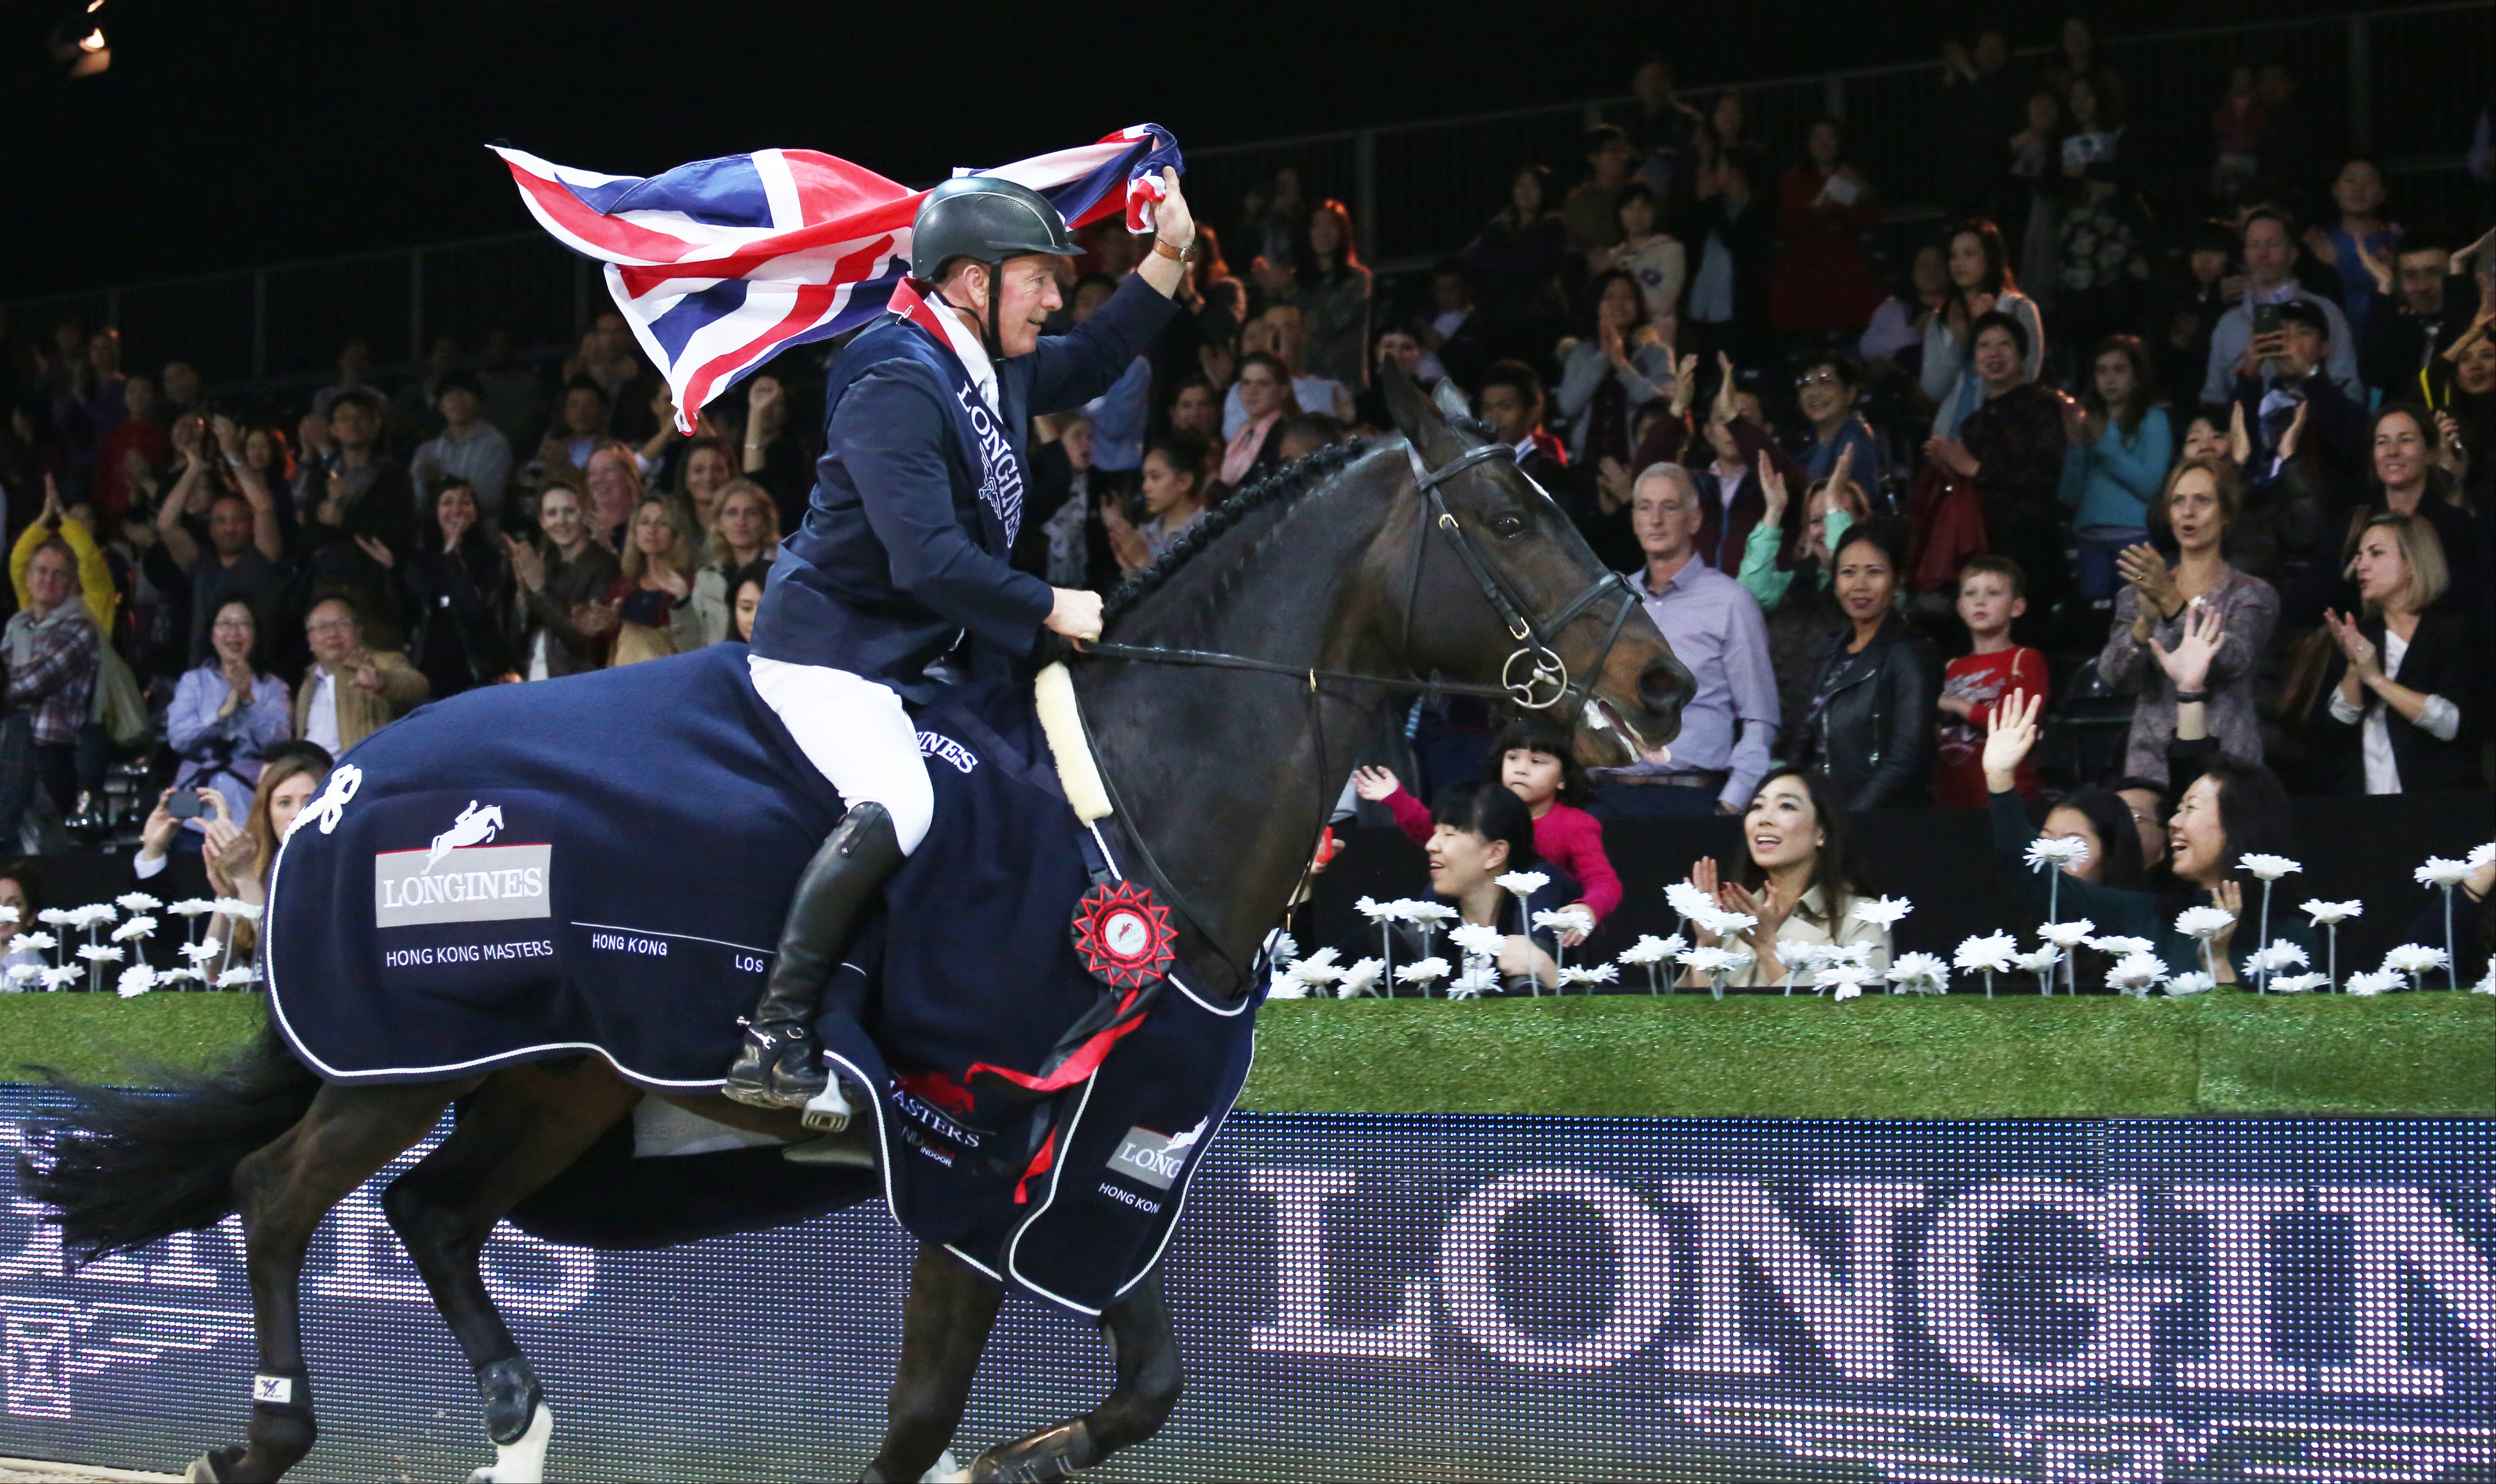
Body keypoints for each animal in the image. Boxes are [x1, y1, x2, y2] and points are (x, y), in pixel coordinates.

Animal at [24, 366, 1697, 1476]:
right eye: (1507, 510)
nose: (1668, 682)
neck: (1140, 787)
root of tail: (340, 782)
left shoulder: (1093, 1157)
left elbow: (1146, 1384)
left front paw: (1018, 1460)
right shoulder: (973, 1152)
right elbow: (916, 1417)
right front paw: (976, 1451)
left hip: (559, 1080)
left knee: (430, 1212)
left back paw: (514, 1425)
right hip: (402, 1057)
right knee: (281, 1191)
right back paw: (261, 1438)